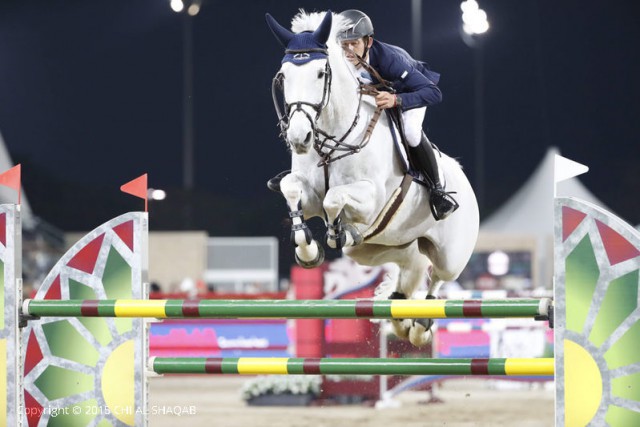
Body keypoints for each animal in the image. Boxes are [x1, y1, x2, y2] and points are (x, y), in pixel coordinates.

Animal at [266, 11, 480, 348]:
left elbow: (334, 198)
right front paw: (308, 249)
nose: (299, 138)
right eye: (284, 76)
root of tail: (465, 181)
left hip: (451, 254)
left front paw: (333, 232)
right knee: (411, 262)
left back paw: (420, 325)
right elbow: (292, 189)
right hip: (378, 245)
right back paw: (400, 314)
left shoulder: (371, 199)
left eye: (320, 73)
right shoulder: (308, 194)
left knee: (438, 278)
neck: (334, 135)